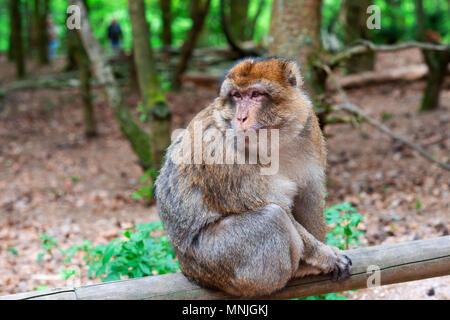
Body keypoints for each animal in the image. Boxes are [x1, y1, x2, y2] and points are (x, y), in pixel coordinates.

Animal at [155, 55, 352, 298]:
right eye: (237, 96)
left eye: (255, 94)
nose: (241, 117)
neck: (274, 140)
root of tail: (187, 269)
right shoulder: (221, 152)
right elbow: (277, 206)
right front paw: (325, 256)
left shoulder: (309, 127)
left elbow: (309, 193)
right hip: (218, 260)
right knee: (272, 217)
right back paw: (299, 270)